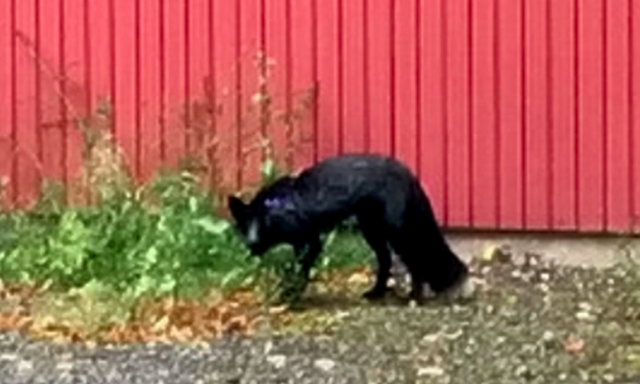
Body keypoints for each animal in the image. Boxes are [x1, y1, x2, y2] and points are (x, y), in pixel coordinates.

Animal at [228, 152, 468, 300]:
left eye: (263, 222)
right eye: (246, 224)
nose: (252, 243)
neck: (277, 207)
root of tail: (409, 174)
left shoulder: (310, 241)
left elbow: (300, 271)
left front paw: (292, 293)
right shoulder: (303, 242)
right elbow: (298, 268)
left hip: (398, 233)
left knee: (415, 261)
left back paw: (414, 297)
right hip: (371, 230)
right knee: (387, 260)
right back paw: (376, 292)